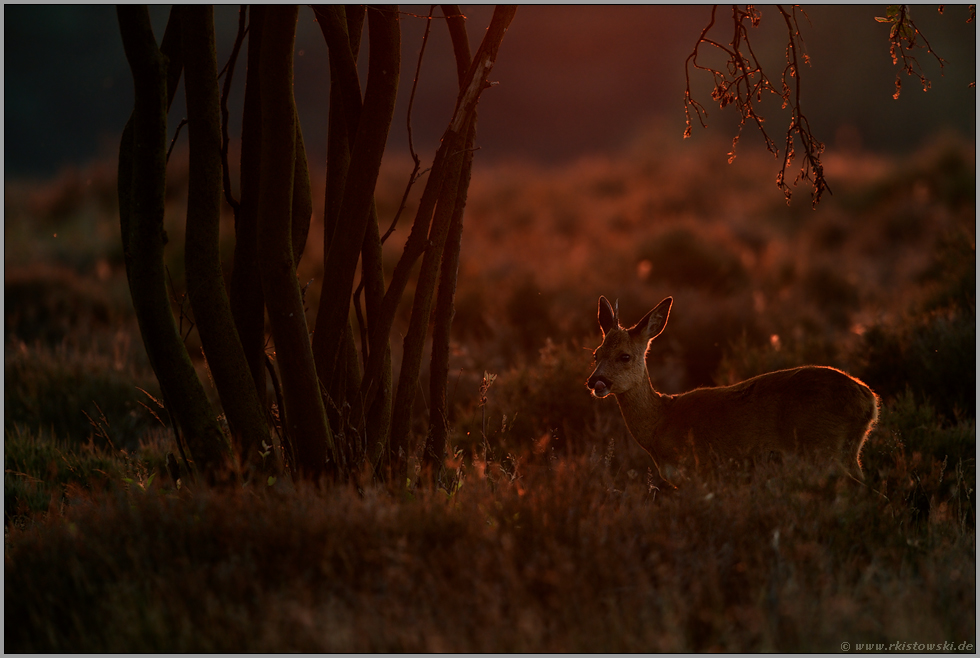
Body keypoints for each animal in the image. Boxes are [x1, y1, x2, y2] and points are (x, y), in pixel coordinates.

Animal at [588, 294, 880, 480]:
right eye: (595, 354)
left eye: (625, 356)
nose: (596, 381)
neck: (661, 421)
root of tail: (869, 401)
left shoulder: (699, 473)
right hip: (848, 452)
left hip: (822, 448)